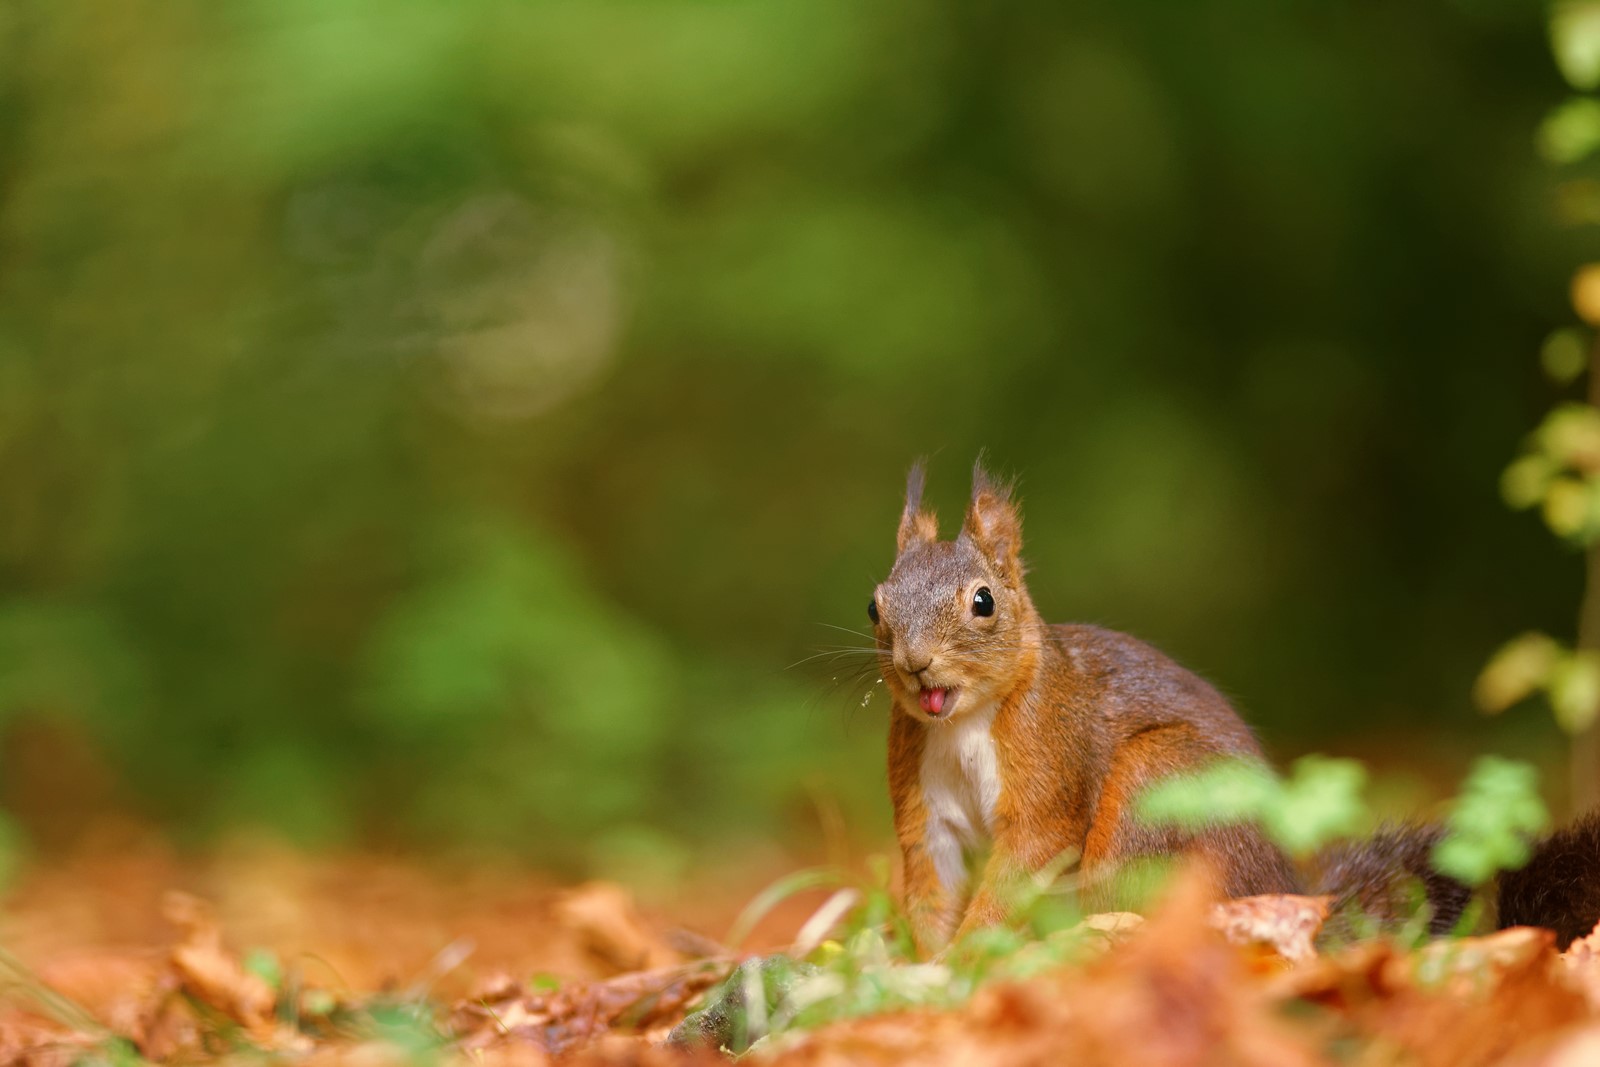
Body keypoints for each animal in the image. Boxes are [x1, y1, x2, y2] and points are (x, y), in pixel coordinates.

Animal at [876, 463, 1600, 953]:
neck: (963, 723)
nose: (916, 664)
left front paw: (969, 958)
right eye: (874, 605)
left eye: (983, 601)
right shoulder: (922, 797)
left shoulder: (1051, 761)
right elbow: (931, 879)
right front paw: (929, 964)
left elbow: (1027, 853)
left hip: (1154, 787)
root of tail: (1288, 897)